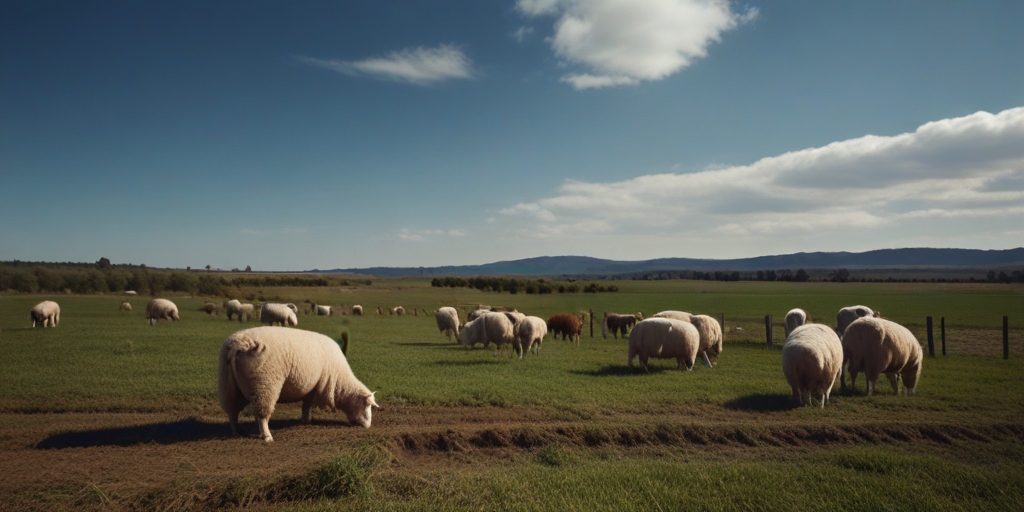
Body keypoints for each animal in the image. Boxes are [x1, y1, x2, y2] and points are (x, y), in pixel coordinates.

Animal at [217, 325, 380, 442]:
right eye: (367, 406)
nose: (368, 426)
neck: (340, 382)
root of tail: (238, 344)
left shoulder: (311, 387)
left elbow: (305, 405)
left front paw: (305, 420)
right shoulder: (316, 387)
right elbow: (307, 404)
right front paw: (306, 420)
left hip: (228, 383)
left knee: (232, 411)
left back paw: (236, 432)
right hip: (265, 384)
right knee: (262, 415)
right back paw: (267, 436)